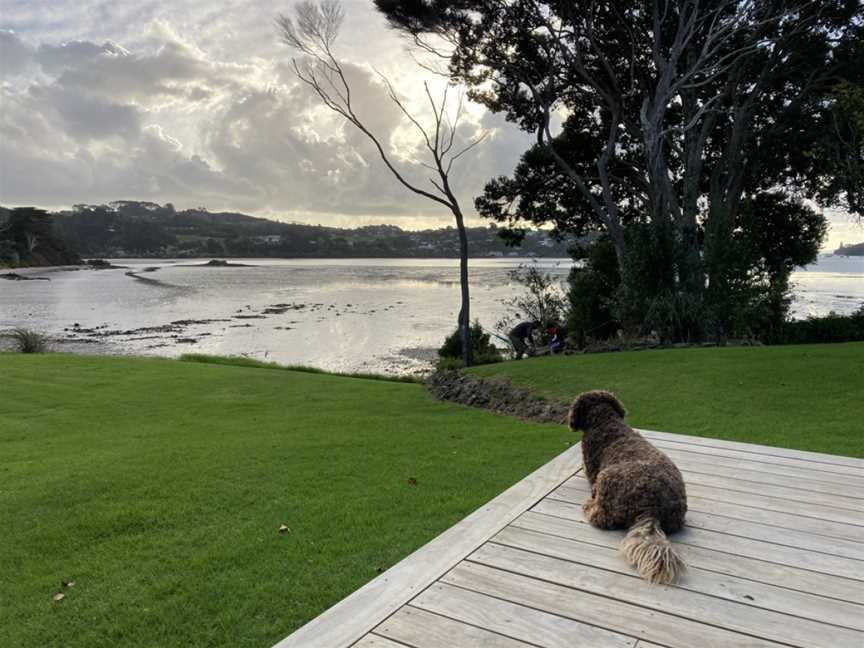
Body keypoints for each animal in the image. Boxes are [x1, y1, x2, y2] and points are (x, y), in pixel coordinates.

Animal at [572, 392, 684, 584]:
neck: (606, 421)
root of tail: (652, 508)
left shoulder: (592, 471)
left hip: (606, 478)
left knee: (601, 518)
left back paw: (589, 508)